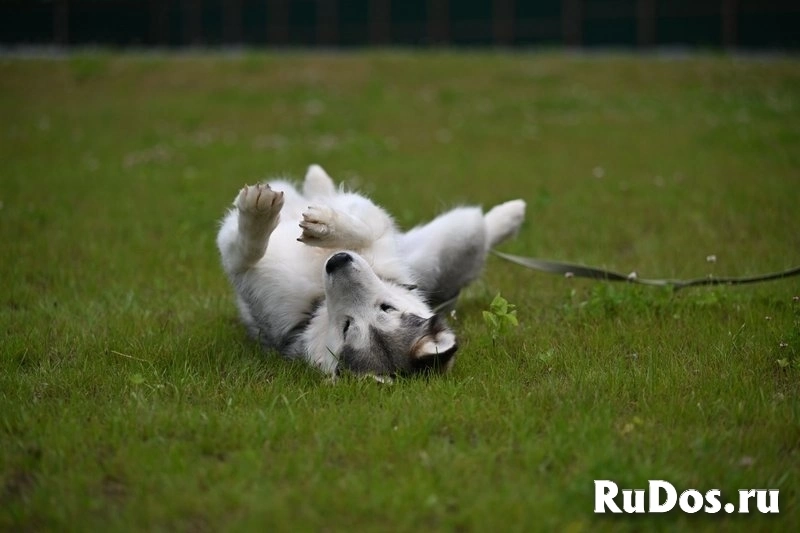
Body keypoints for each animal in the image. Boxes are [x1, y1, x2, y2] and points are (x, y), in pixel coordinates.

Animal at [216, 164, 524, 376]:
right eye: (388, 307)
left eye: (347, 327)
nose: (338, 261)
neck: (319, 295)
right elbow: (360, 226)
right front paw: (322, 224)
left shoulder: (240, 264)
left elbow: (247, 249)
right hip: (451, 238)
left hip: (457, 239)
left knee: (482, 230)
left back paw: (510, 216)